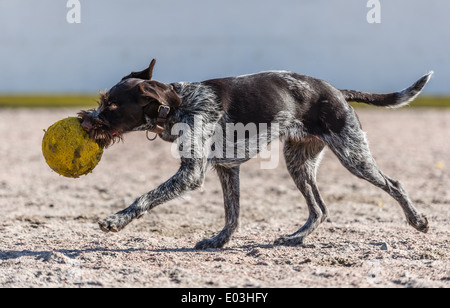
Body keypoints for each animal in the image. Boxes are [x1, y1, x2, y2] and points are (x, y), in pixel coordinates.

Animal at [79, 59, 434, 249]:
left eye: (111, 105)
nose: (83, 120)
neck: (180, 104)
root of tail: (337, 91)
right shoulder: (226, 169)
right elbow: (232, 214)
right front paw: (218, 241)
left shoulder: (191, 173)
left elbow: (144, 198)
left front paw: (116, 220)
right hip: (299, 163)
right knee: (319, 209)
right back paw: (296, 238)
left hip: (352, 154)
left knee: (394, 185)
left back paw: (417, 220)